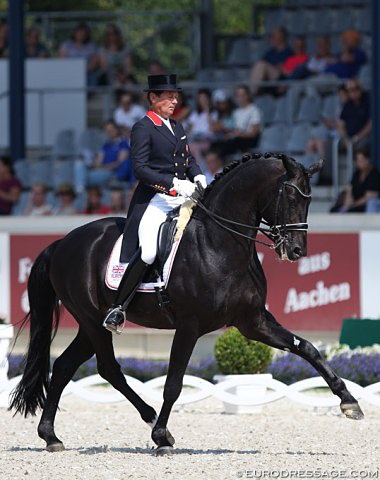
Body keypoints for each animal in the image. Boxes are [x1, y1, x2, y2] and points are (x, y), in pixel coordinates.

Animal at [10, 154, 364, 454]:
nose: (296, 251)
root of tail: (62, 242)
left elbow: (307, 348)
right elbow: (173, 383)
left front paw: (349, 402)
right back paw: (151, 420)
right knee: (108, 368)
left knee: (64, 366)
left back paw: (51, 436)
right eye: (290, 196)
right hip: (92, 319)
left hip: (91, 323)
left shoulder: (253, 322)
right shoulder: (190, 326)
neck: (221, 243)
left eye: (309, 200)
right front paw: (161, 438)